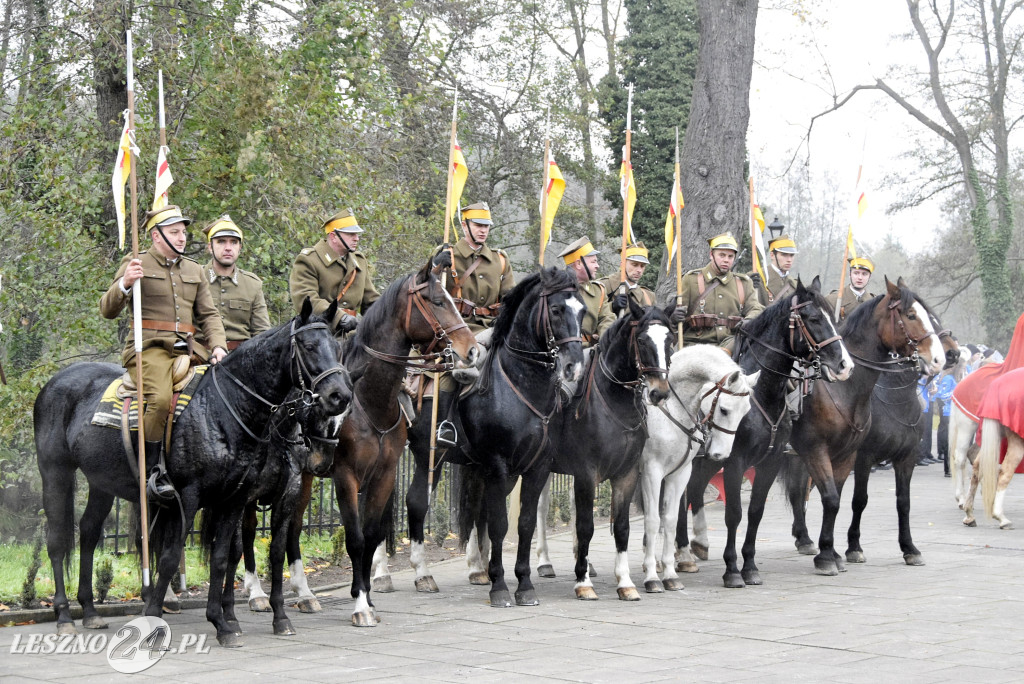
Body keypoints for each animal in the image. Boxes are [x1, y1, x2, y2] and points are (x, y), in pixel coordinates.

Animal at [35, 298, 352, 643]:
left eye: (338, 348)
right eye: (309, 346)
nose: (340, 396)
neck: (226, 407)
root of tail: (54, 382)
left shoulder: (240, 499)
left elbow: (225, 556)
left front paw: (226, 622)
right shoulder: (189, 496)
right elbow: (173, 556)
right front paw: (157, 618)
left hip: (102, 483)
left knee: (89, 533)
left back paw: (90, 611)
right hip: (56, 472)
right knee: (58, 541)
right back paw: (65, 615)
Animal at [638, 344, 761, 589]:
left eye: (745, 412)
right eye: (724, 409)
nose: (721, 454)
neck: (670, 410)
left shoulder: (679, 472)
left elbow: (670, 517)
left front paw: (669, 573)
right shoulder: (651, 472)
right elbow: (653, 518)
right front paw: (652, 576)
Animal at [671, 278, 856, 589]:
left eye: (833, 317)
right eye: (814, 318)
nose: (845, 365)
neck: (761, 395)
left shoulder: (770, 462)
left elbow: (755, 512)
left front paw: (749, 566)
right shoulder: (736, 462)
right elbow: (734, 514)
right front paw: (732, 570)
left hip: (709, 459)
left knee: (695, 489)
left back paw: (699, 544)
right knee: (682, 496)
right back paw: (684, 552)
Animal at [782, 274, 942, 573]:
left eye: (932, 318)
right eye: (911, 315)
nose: (941, 359)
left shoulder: (901, 457)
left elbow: (902, 502)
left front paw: (909, 548)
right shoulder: (857, 455)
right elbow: (855, 500)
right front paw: (849, 549)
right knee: (799, 491)